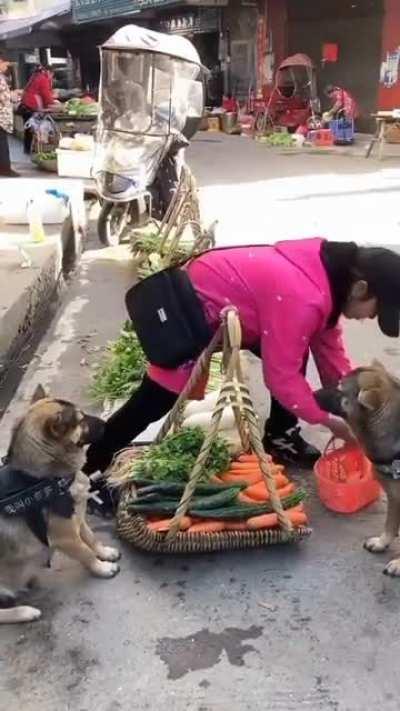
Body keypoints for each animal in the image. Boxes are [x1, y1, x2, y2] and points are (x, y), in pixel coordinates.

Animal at [0, 386, 120, 624]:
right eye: (81, 420)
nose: (106, 423)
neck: (42, 478)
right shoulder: (66, 538)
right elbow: (86, 552)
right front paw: (101, 568)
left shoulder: (77, 520)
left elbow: (92, 539)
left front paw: (104, 553)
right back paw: (25, 612)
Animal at [318, 362, 400, 580]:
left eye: (340, 387)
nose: (313, 392)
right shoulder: (394, 496)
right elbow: (390, 524)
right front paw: (382, 542)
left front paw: (399, 563)